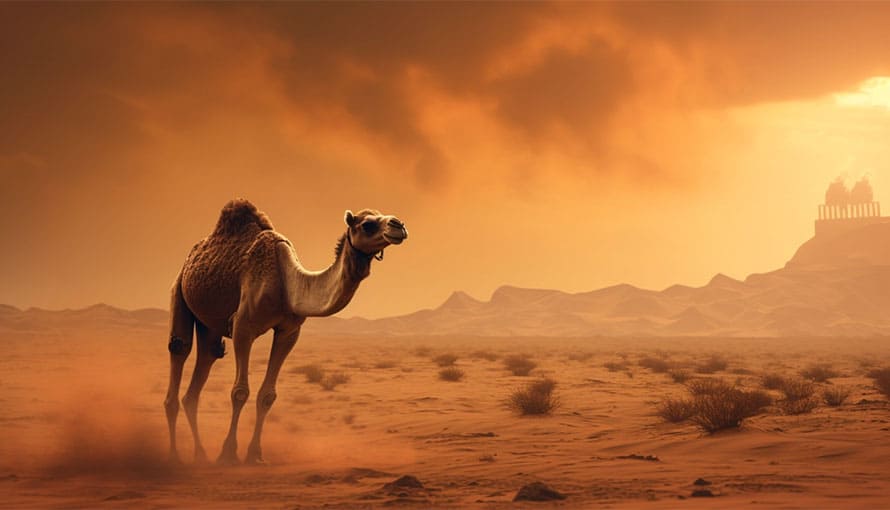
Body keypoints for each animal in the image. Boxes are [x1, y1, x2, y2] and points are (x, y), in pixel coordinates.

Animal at [163, 199, 408, 464]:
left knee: (204, 364)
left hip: (208, 324)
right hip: (178, 290)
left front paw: (255, 455)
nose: (399, 225)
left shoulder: (289, 331)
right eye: (367, 224)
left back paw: (200, 454)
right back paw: (175, 455)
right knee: (179, 349)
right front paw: (228, 453)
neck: (287, 283)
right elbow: (240, 392)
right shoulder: (243, 326)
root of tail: (189, 258)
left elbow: (267, 395)